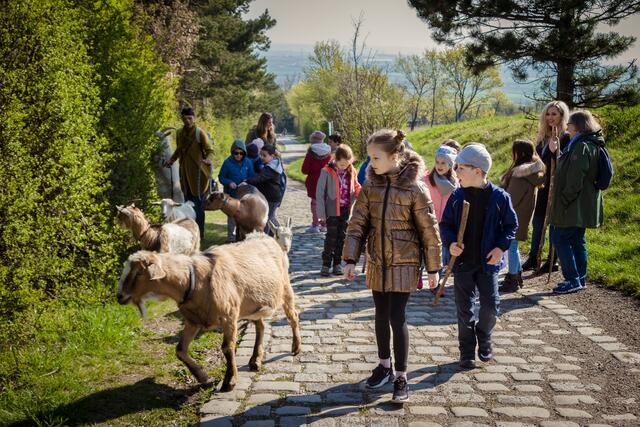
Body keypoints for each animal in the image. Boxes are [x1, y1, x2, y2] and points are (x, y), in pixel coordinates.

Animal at [116, 232, 301, 391]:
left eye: (138, 273)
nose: (120, 296)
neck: (193, 280)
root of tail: (265, 236)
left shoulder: (229, 317)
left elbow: (227, 347)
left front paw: (229, 381)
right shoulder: (193, 321)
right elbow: (180, 349)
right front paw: (202, 377)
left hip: (286, 289)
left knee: (293, 317)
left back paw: (296, 347)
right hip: (253, 305)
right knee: (260, 326)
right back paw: (255, 360)